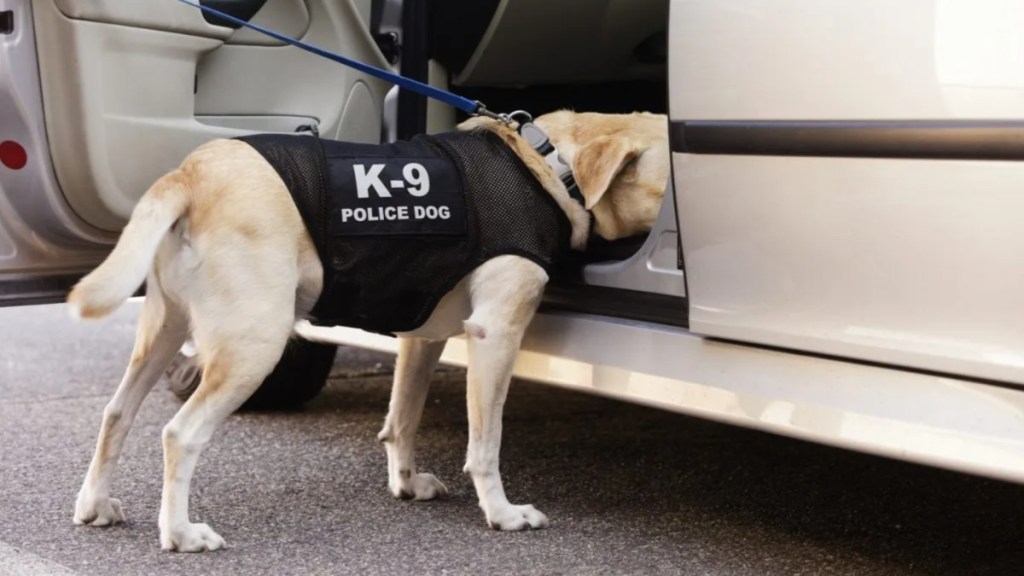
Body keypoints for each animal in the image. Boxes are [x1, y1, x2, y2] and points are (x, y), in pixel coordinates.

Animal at [66, 109, 671, 549]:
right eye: (667, 192)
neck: (546, 162)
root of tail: (193, 172)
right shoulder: (495, 333)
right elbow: (486, 443)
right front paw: (501, 513)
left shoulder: (423, 334)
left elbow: (403, 417)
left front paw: (405, 482)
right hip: (254, 343)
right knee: (180, 434)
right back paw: (179, 533)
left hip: (164, 330)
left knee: (116, 413)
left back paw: (95, 504)